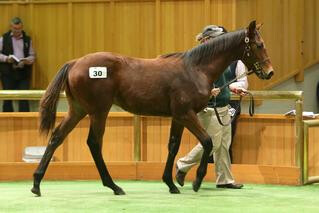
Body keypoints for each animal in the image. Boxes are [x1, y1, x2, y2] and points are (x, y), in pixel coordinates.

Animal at [30, 20, 276, 196]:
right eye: (259, 45)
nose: (270, 72)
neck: (196, 68)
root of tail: (75, 63)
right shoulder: (186, 114)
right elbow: (207, 141)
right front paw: (196, 181)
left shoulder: (178, 117)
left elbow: (173, 146)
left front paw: (171, 183)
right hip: (98, 111)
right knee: (94, 143)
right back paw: (114, 186)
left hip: (78, 110)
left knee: (56, 137)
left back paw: (37, 183)